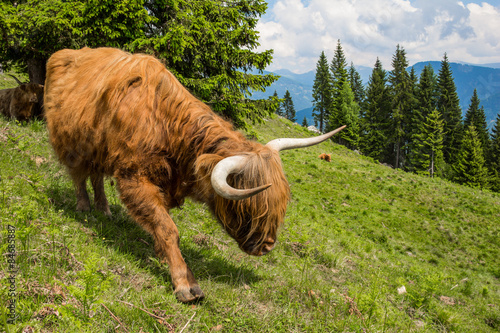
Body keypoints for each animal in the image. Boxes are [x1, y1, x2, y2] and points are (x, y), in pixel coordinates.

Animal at [45, 47, 346, 304]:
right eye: (247, 208)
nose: (268, 246)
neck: (167, 127)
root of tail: (61, 53)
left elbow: (161, 222)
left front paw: (160, 255)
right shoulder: (134, 177)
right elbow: (167, 228)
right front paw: (184, 283)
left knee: (95, 176)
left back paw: (104, 210)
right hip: (72, 142)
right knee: (79, 175)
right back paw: (84, 207)